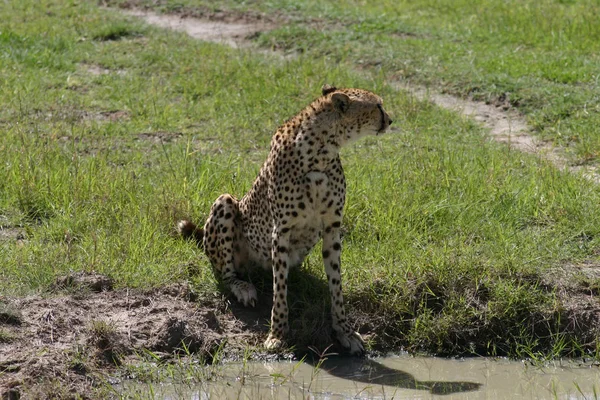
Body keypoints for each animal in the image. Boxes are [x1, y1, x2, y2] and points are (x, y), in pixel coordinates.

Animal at [179, 84, 394, 354]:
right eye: (377, 106)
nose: (390, 120)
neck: (321, 150)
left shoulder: (332, 228)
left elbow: (336, 284)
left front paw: (344, 331)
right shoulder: (280, 231)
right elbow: (279, 287)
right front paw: (278, 333)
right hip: (225, 202)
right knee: (227, 273)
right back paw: (243, 288)